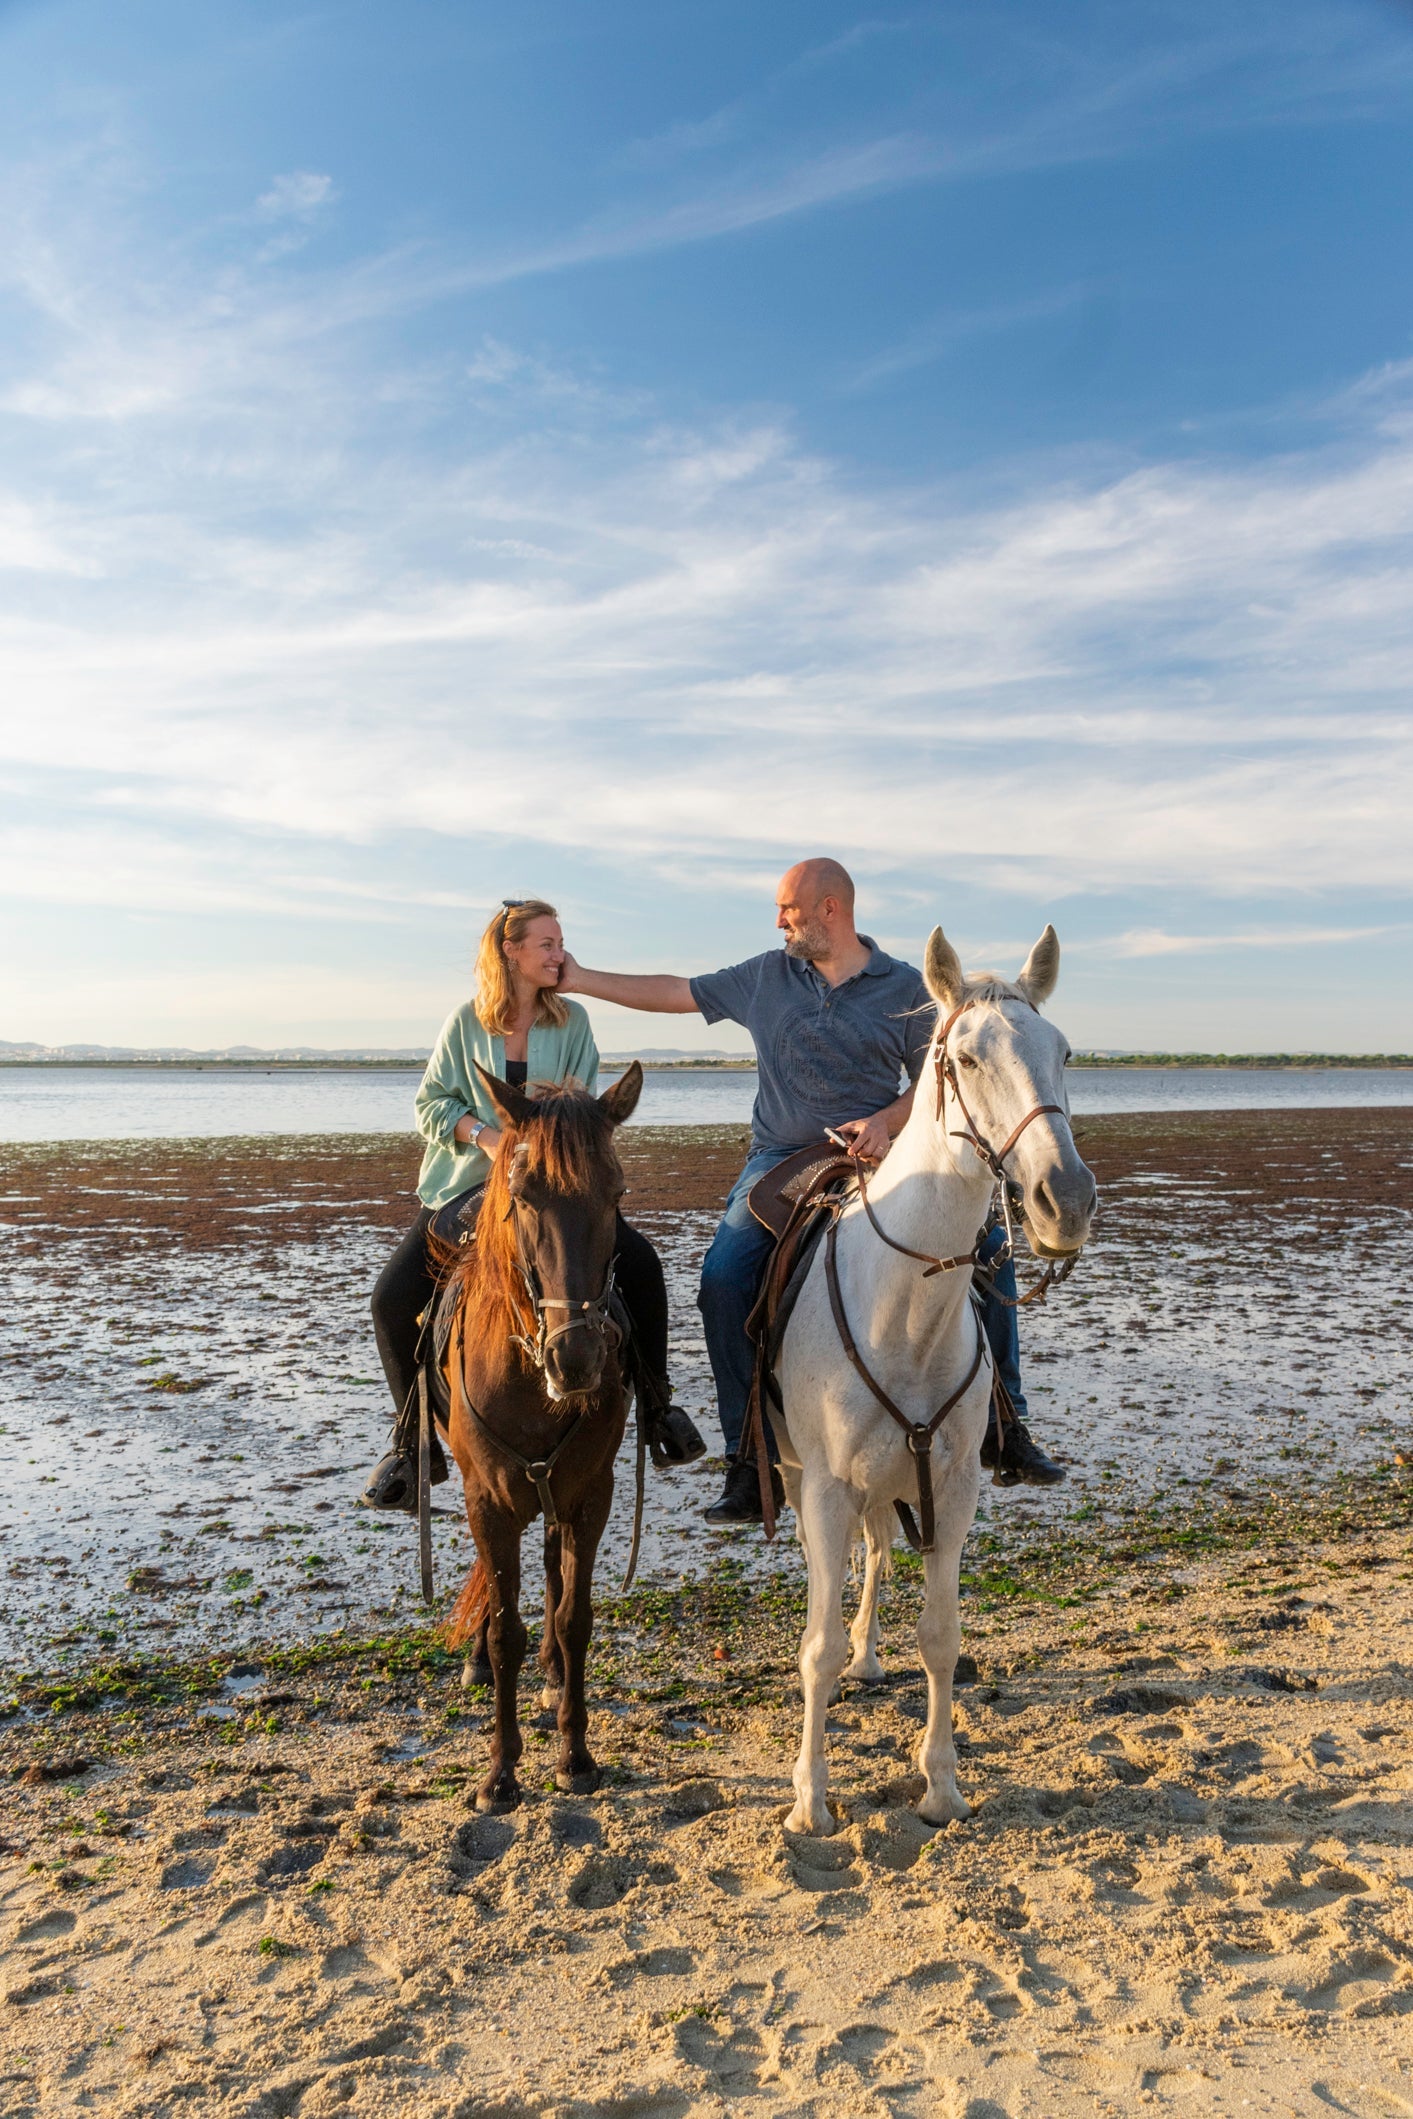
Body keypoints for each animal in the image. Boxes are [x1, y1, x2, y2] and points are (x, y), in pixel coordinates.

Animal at [438, 1067, 644, 1813]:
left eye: (616, 1193)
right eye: (525, 1197)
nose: (576, 1359)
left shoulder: (590, 1494)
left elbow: (575, 1617)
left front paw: (575, 1755)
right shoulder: (487, 1503)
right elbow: (504, 1631)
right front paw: (500, 1771)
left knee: (554, 1572)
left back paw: (554, 1673)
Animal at [775, 928, 1093, 1839]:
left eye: (1064, 1051)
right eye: (966, 1056)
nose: (1066, 1198)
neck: (904, 1311)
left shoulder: (950, 1491)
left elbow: (941, 1637)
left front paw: (941, 1785)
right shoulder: (826, 1488)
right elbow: (812, 1645)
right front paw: (809, 1799)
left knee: (879, 1553)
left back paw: (867, 1654)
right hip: (804, 1478)